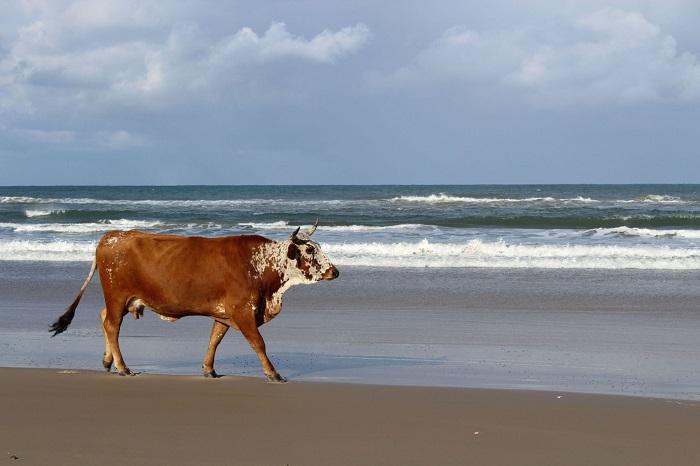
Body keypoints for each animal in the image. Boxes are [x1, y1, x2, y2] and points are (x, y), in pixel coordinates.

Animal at [49, 222, 340, 382]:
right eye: (310, 249)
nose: (334, 271)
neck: (260, 265)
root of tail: (111, 236)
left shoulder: (225, 313)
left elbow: (214, 339)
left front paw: (209, 369)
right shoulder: (243, 311)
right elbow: (259, 343)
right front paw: (273, 373)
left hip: (121, 300)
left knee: (103, 318)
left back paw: (108, 361)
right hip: (118, 296)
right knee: (111, 326)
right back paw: (122, 367)